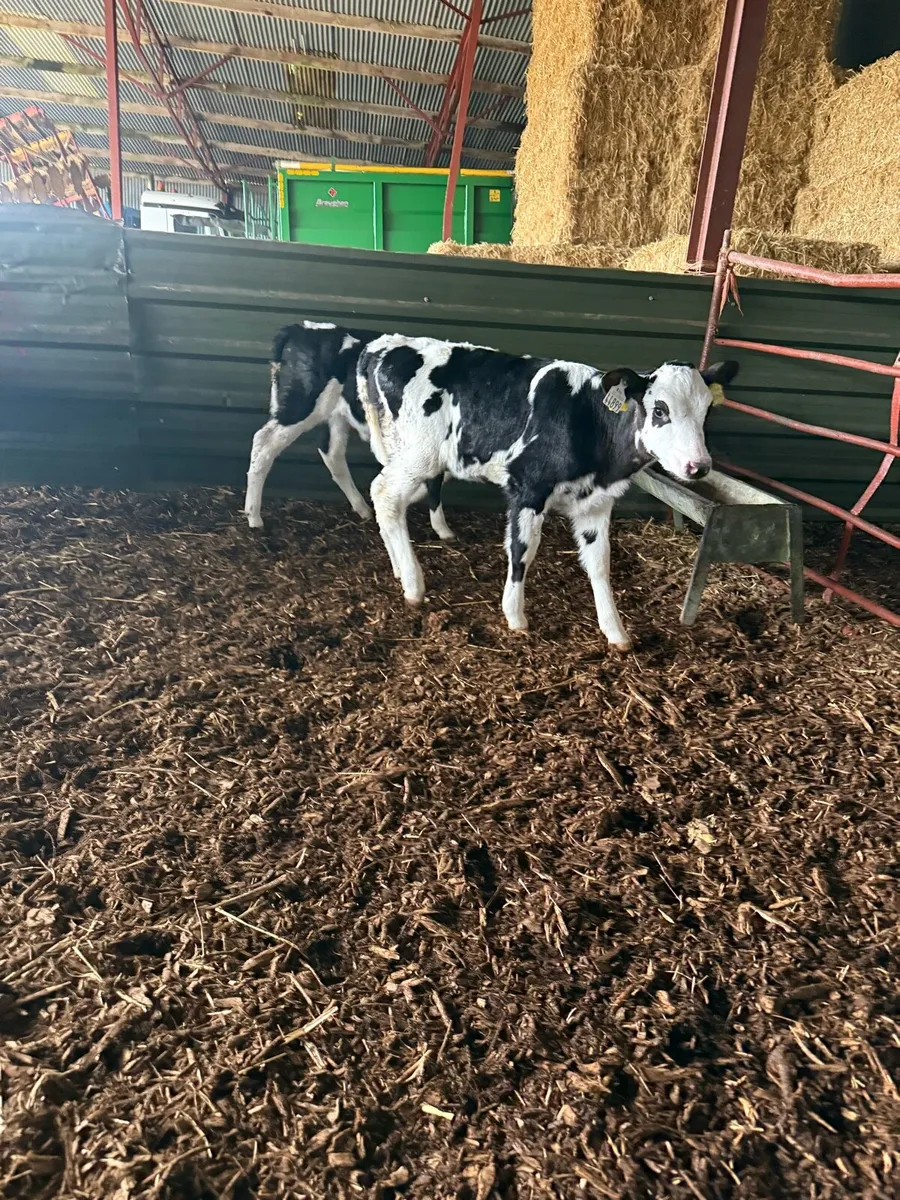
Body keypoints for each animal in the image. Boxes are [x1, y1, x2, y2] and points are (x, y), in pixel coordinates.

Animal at [243, 320, 455, 540]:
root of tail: (300, 328)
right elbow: (435, 481)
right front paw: (443, 530)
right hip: (302, 405)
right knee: (264, 442)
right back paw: (254, 516)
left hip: (334, 415)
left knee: (331, 453)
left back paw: (362, 508)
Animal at [357, 334, 739, 651]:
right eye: (660, 409)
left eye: (707, 410)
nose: (698, 466)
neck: (589, 423)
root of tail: (381, 346)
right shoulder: (528, 488)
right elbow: (522, 551)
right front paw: (515, 616)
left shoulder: (596, 504)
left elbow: (600, 563)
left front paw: (615, 632)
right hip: (418, 455)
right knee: (385, 493)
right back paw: (413, 585)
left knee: (388, 501)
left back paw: (398, 569)